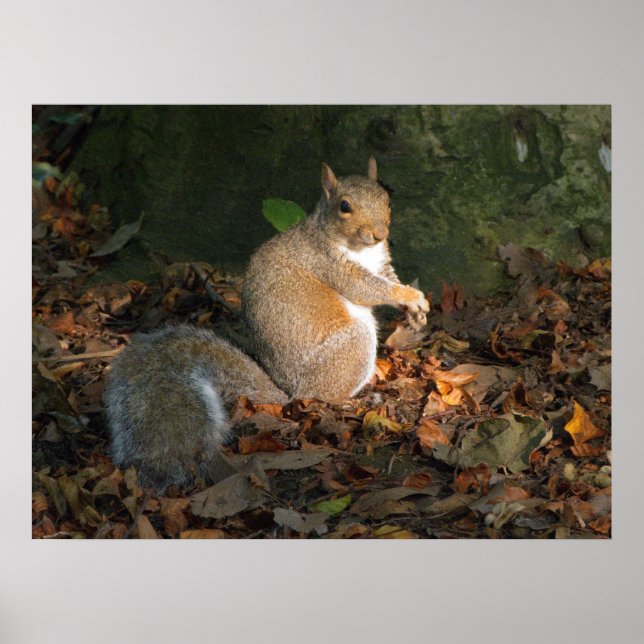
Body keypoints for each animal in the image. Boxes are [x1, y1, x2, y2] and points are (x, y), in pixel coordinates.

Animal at [104, 159, 429, 490]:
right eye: (345, 206)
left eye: (386, 198)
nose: (380, 233)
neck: (361, 249)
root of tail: (291, 394)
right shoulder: (329, 264)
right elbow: (366, 288)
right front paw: (407, 295)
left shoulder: (381, 262)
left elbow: (387, 278)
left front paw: (416, 310)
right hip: (350, 348)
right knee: (327, 395)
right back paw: (351, 399)